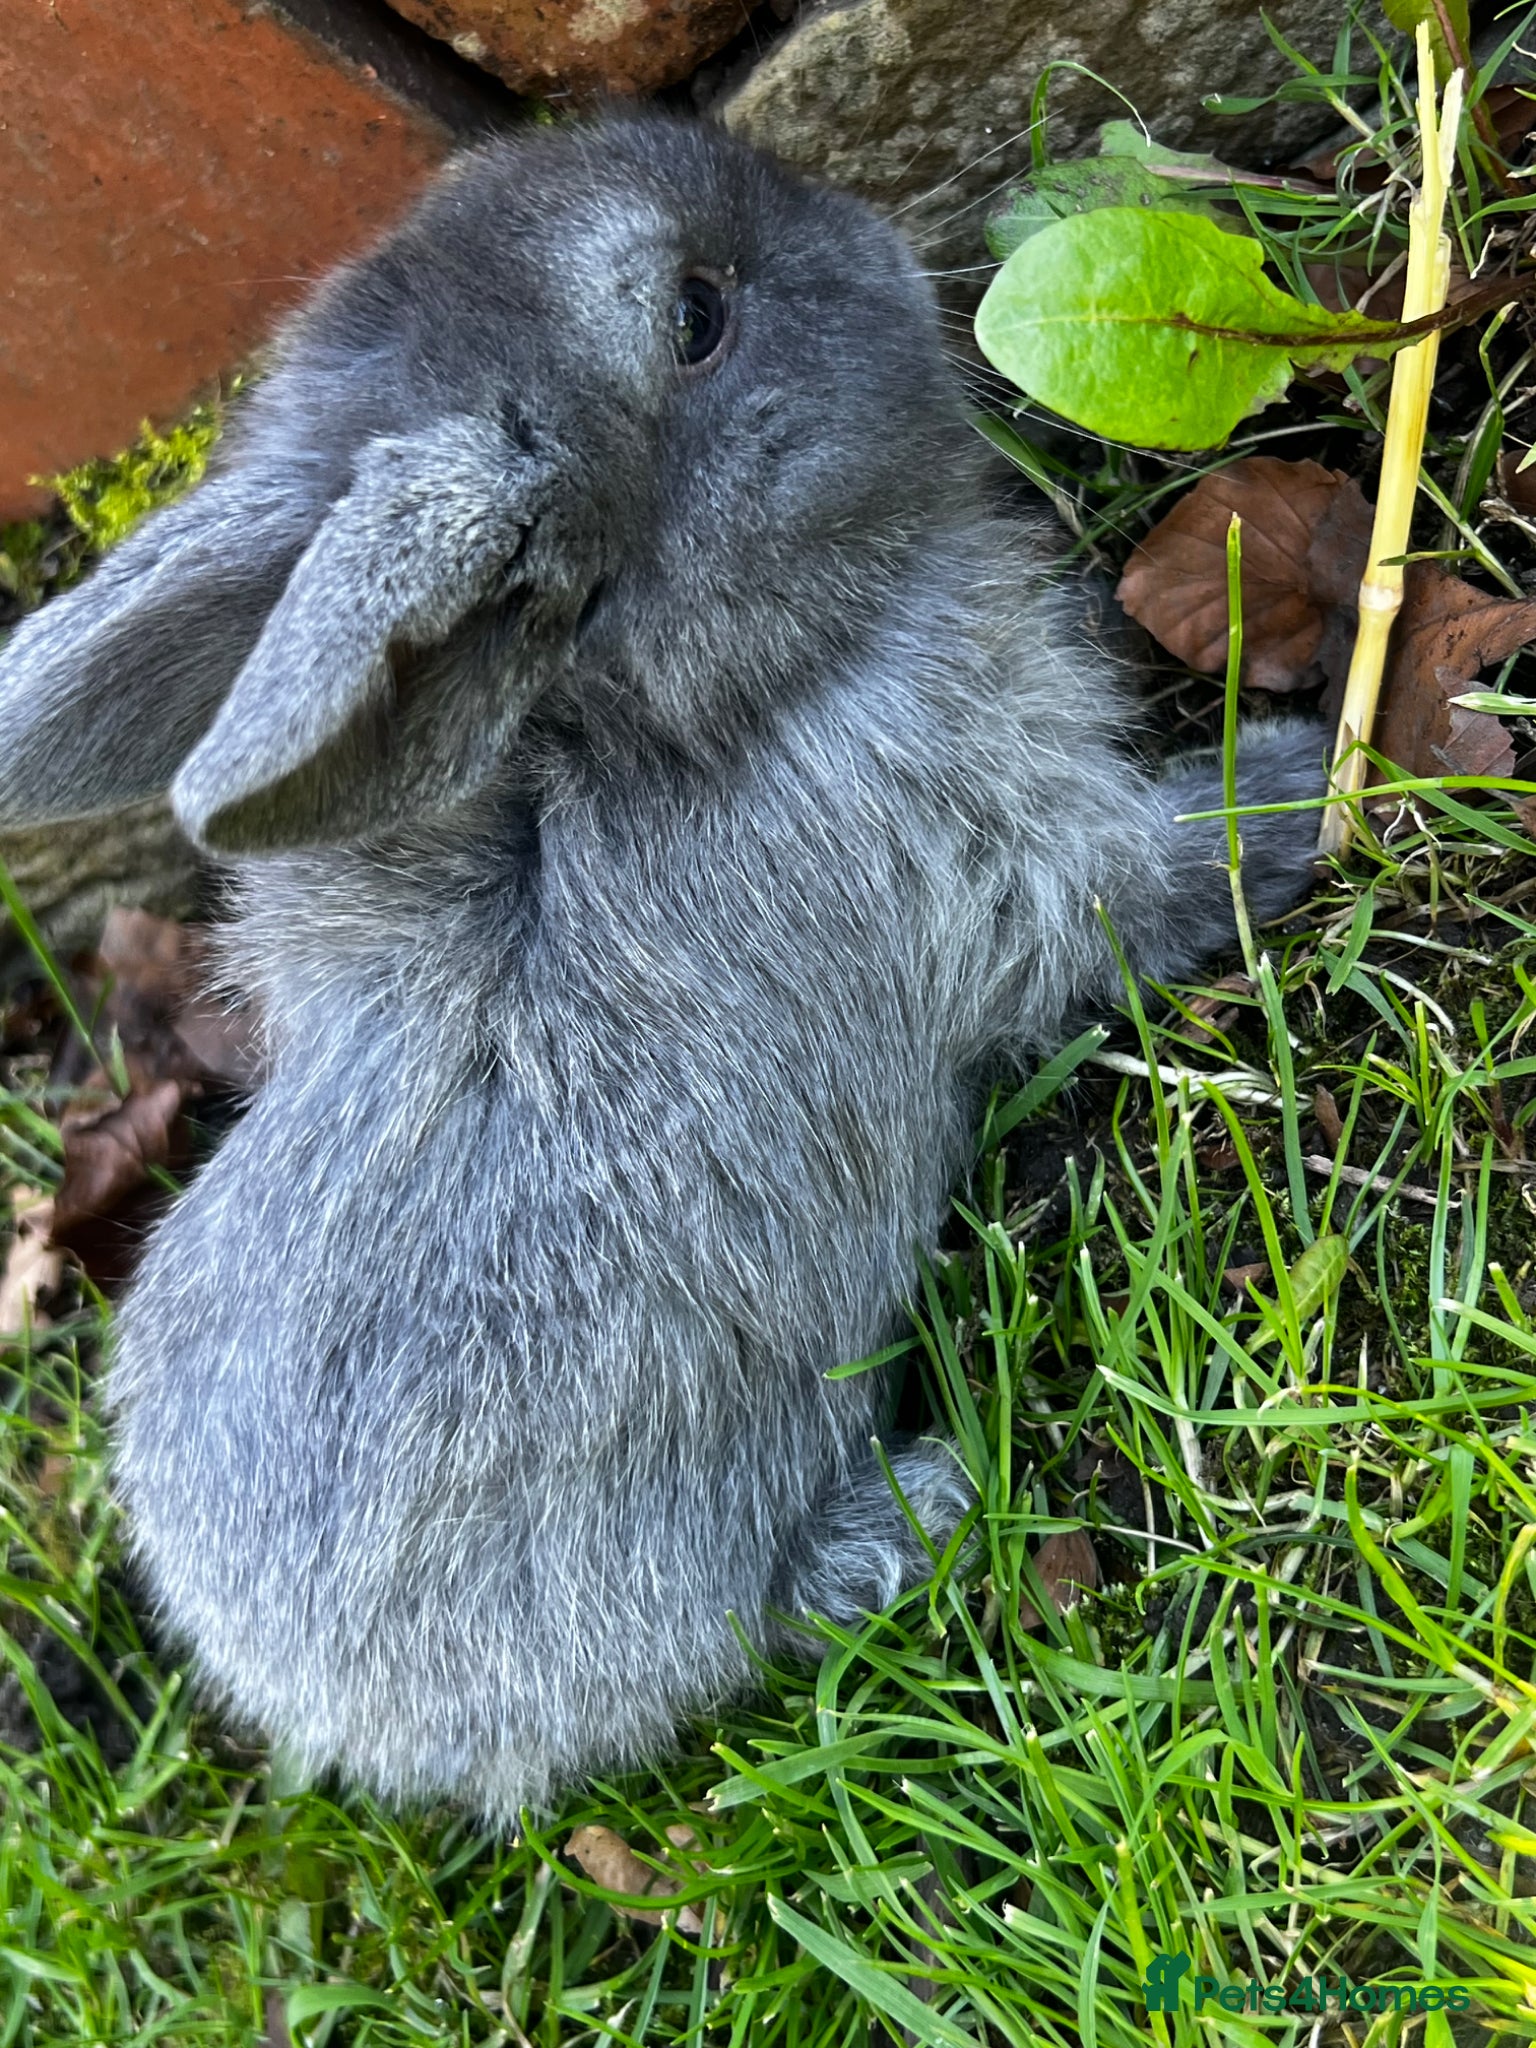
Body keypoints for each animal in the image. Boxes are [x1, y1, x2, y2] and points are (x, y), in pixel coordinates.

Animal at [0, 113, 1324, 1823]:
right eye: (694, 317)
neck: (664, 713)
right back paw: (918, 1508)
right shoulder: (1012, 855)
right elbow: (1149, 885)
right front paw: (1304, 787)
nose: (874, 232)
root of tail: (338, 1716)